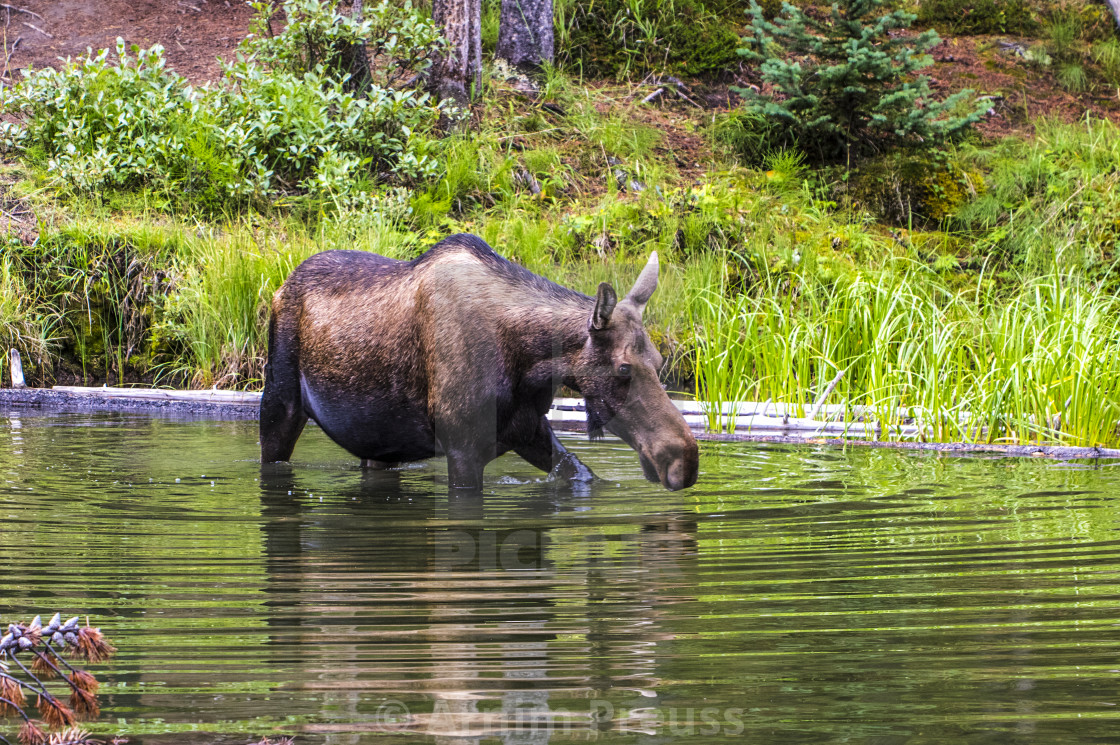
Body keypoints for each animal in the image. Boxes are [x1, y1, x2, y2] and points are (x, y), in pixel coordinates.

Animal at [262, 233, 698, 488]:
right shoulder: (462, 449)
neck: (528, 364)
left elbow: (581, 474)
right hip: (279, 401)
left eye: (659, 361)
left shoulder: (527, 429)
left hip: (378, 439)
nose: (685, 459)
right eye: (624, 368)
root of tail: (280, 288)